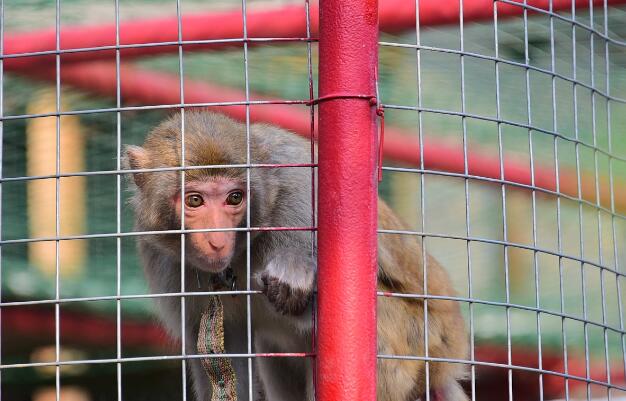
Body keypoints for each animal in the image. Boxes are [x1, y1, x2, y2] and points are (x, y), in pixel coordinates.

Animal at [124, 110, 466, 400]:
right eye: (195, 200)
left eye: (234, 197)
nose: (217, 240)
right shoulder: (163, 260)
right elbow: (219, 357)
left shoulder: (301, 191)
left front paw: (294, 275)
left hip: (424, 342)